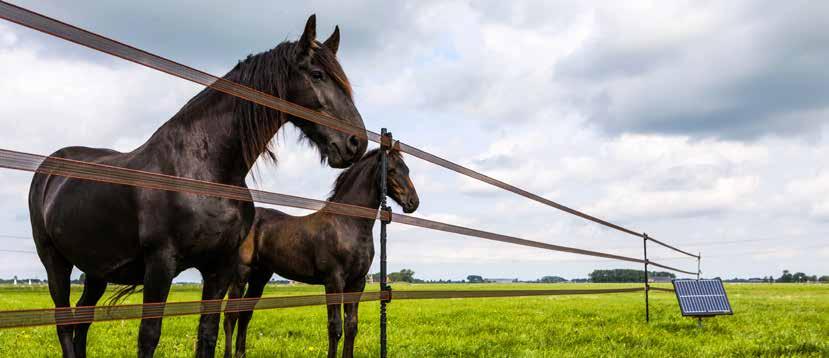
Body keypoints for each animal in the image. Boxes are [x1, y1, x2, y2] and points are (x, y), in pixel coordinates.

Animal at [222, 148, 418, 358]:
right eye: (391, 170)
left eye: (407, 169)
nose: (413, 202)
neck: (347, 224)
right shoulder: (334, 281)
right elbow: (335, 327)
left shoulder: (357, 283)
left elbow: (351, 326)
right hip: (241, 274)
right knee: (230, 316)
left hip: (260, 277)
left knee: (245, 314)